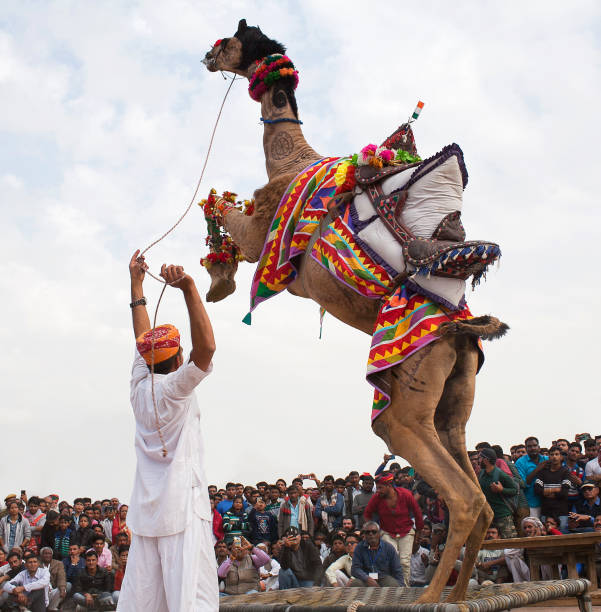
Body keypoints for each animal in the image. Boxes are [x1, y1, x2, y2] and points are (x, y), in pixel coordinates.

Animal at [202, 20, 506, 604]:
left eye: (229, 39)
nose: (206, 56)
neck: (292, 161)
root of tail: (462, 327)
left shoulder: (259, 235)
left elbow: (220, 208)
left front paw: (217, 283)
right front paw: (214, 284)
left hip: (405, 400)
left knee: (460, 496)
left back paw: (430, 597)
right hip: (454, 396)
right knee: (473, 486)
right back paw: (458, 596)